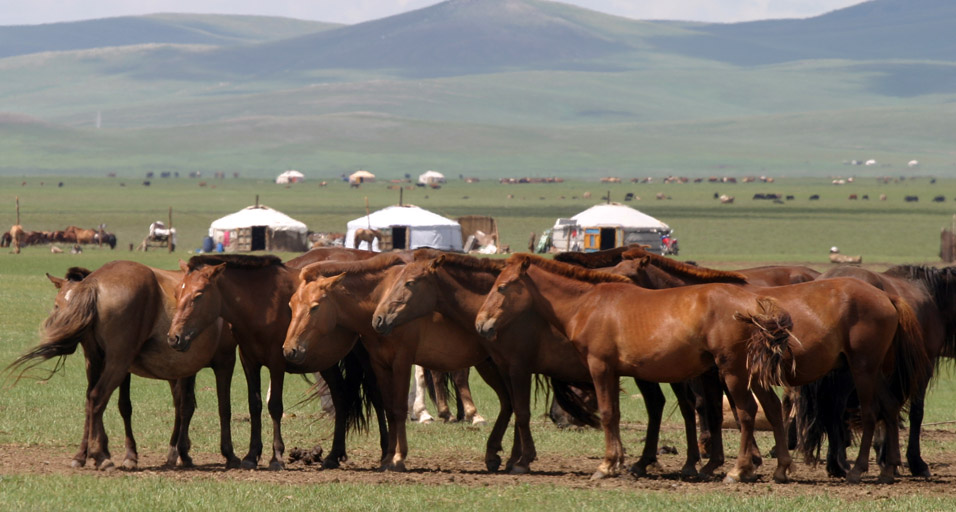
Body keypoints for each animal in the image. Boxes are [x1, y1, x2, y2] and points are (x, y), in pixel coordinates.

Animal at [8, 262, 240, 471]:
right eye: (57, 304)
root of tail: (95, 284)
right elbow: (217, 407)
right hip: (120, 364)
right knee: (98, 398)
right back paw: (103, 456)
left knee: (98, 399)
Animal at [167, 248, 390, 470]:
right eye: (177, 293)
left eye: (198, 295)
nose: (174, 337)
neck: (261, 301)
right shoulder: (249, 361)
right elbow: (255, 405)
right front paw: (251, 455)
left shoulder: (277, 362)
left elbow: (274, 406)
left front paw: (276, 457)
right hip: (327, 363)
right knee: (340, 397)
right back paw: (334, 456)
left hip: (366, 359)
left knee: (377, 396)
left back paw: (385, 452)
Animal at [282, 253, 514, 472]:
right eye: (291, 305)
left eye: (314, 307)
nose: (290, 349)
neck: (381, 298)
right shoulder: (380, 364)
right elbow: (389, 409)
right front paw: (387, 458)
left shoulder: (401, 361)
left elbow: (400, 408)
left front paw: (398, 457)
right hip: (489, 365)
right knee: (508, 402)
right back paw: (496, 455)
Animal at [371, 251, 705, 477]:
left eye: (410, 282)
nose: (379, 319)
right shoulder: (504, 366)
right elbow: (514, 409)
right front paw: (508, 456)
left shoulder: (518, 367)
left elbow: (520, 411)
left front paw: (520, 459)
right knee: (662, 405)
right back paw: (652, 462)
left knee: (682, 407)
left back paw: (687, 463)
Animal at [475, 254, 796, 483]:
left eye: (501, 287)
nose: (481, 325)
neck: (588, 304)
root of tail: (752, 302)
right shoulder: (614, 372)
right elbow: (615, 415)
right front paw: (619, 462)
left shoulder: (600, 367)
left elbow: (606, 414)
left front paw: (606, 466)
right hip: (750, 374)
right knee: (771, 407)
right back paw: (780, 468)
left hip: (732, 372)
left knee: (747, 413)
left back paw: (738, 470)